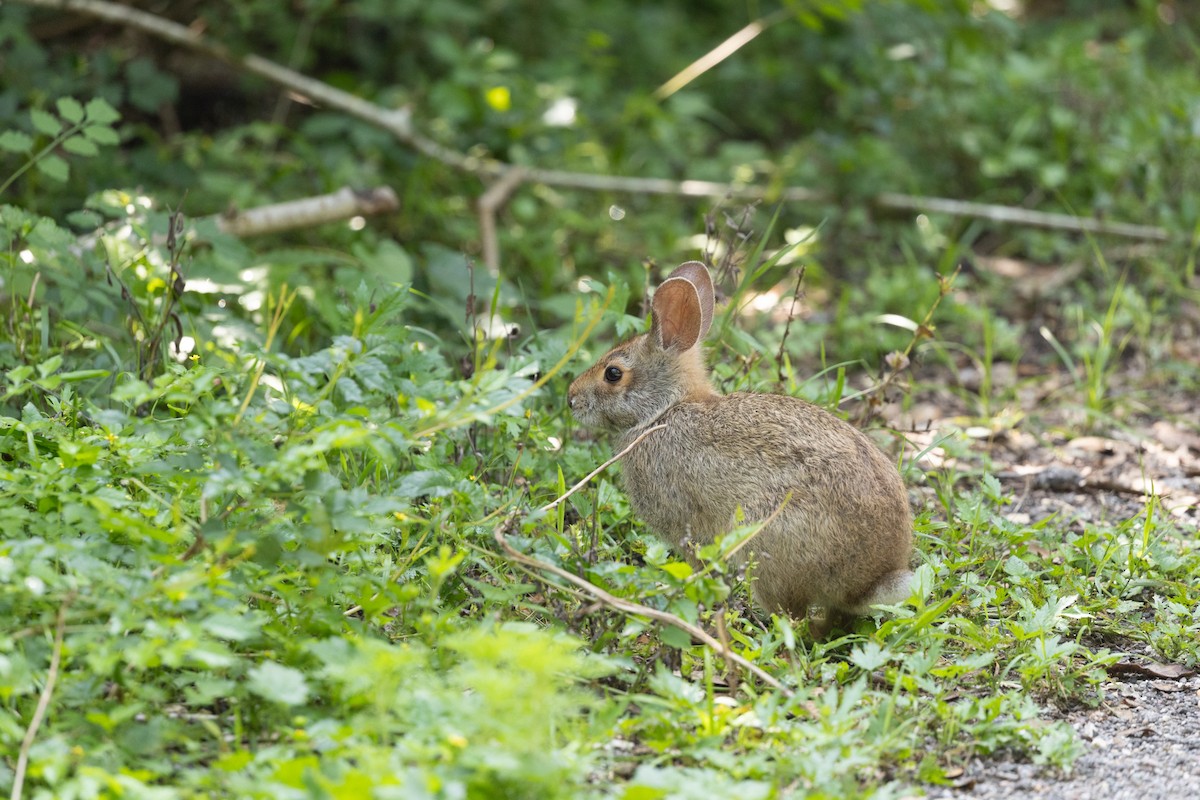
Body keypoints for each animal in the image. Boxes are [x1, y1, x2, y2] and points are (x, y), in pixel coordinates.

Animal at [567, 261, 913, 632]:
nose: (571, 399)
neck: (663, 411)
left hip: (766, 542)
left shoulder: (686, 526)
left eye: (613, 373)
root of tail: (869, 581)